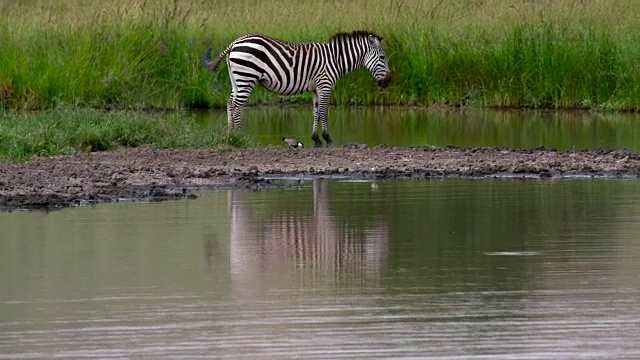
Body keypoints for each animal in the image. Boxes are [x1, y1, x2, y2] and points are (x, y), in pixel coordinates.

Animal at [204, 30, 390, 147]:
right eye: (382, 57)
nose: (388, 81)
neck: (336, 60)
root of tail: (234, 43)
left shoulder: (316, 88)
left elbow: (316, 111)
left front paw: (316, 139)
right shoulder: (325, 84)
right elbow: (324, 111)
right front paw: (328, 139)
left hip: (236, 78)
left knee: (230, 103)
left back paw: (231, 137)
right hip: (247, 76)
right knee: (237, 106)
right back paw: (241, 137)